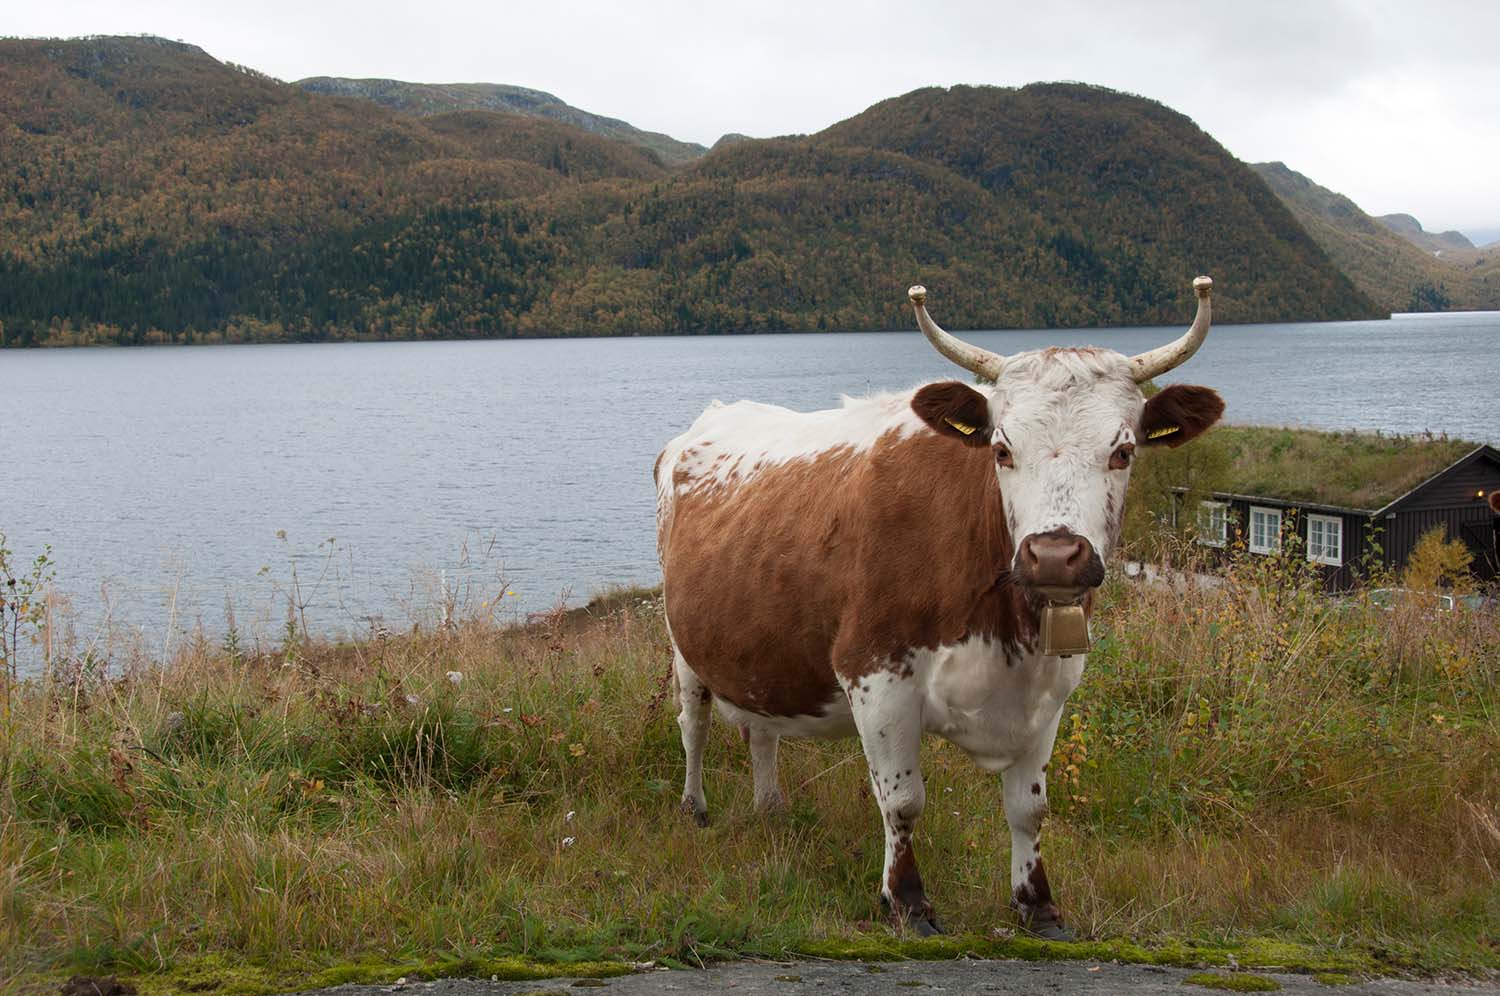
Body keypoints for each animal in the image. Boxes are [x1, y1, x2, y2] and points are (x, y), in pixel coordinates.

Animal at [654, 276, 1218, 936]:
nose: (1054, 557)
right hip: (683, 644)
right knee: (692, 724)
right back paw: (694, 808)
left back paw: (771, 810)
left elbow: (1029, 809)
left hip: (759, 647)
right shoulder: (875, 673)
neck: (1007, 636)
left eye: (1123, 452)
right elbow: (902, 801)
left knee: (761, 732)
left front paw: (1037, 903)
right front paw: (906, 900)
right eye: (1001, 449)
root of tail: (715, 415)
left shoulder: (1051, 688)